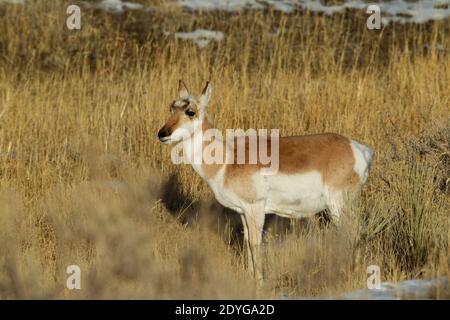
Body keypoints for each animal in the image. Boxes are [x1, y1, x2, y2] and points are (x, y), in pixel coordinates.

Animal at [158, 81, 372, 282]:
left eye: (190, 111)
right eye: (171, 107)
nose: (162, 133)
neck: (228, 160)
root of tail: (356, 147)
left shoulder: (256, 208)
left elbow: (255, 244)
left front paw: (259, 283)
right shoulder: (243, 211)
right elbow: (247, 243)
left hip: (339, 205)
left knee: (352, 232)